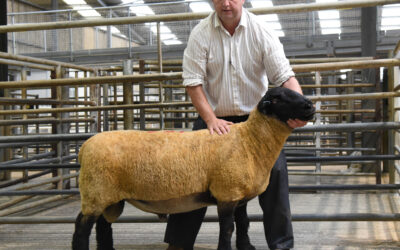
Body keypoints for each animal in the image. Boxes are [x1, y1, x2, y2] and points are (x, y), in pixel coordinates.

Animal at [72, 86, 316, 250]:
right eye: (278, 98)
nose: (310, 106)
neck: (249, 141)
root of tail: (84, 147)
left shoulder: (238, 194)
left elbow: (244, 223)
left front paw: (246, 246)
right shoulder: (226, 193)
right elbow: (228, 228)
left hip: (108, 196)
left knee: (103, 226)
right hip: (96, 191)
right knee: (82, 227)